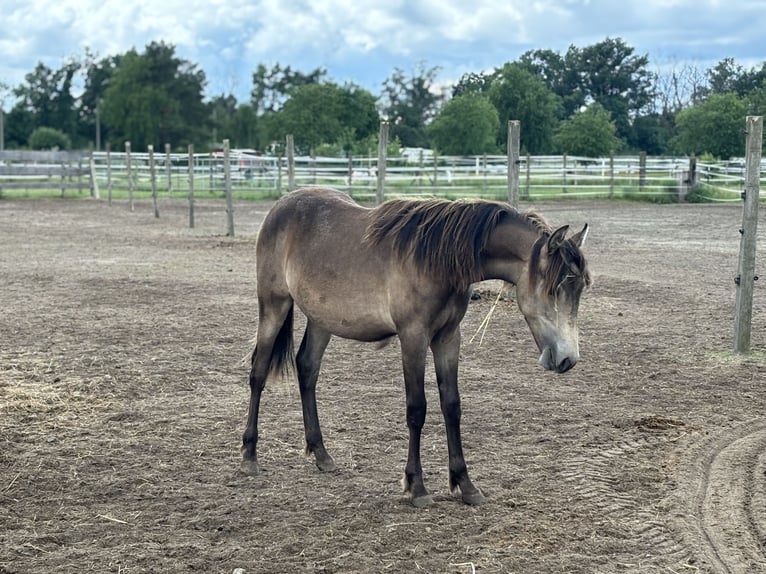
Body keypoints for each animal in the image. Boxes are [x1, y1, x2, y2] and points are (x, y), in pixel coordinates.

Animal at [243, 188, 592, 508]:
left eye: (579, 289)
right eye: (554, 289)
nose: (567, 358)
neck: (436, 260)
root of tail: (282, 205)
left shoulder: (448, 338)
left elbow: (452, 406)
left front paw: (465, 484)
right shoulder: (413, 338)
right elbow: (417, 409)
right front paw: (416, 486)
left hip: (322, 320)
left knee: (307, 369)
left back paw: (321, 454)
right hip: (274, 305)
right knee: (258, 372)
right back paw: (249, 455)